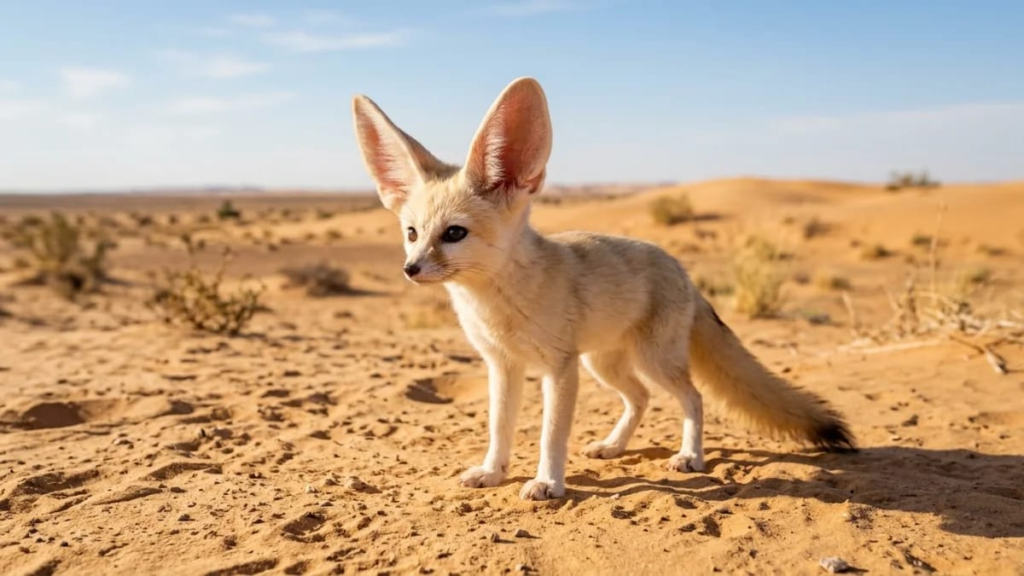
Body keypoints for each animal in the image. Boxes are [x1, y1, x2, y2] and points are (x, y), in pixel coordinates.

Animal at [351, 77, 854, 501]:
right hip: (604, 364)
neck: (496, 307)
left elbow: (551, 434)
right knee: (641, 398)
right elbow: (499, 428)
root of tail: (682, 270)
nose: (410, 269)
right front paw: (493, 472)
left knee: (692, 397)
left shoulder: (559, 368)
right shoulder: (503, 366)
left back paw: (690, 456)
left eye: (454, 233)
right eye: (412, 233)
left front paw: (548, 483)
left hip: (649, 361)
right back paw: (614, 446)